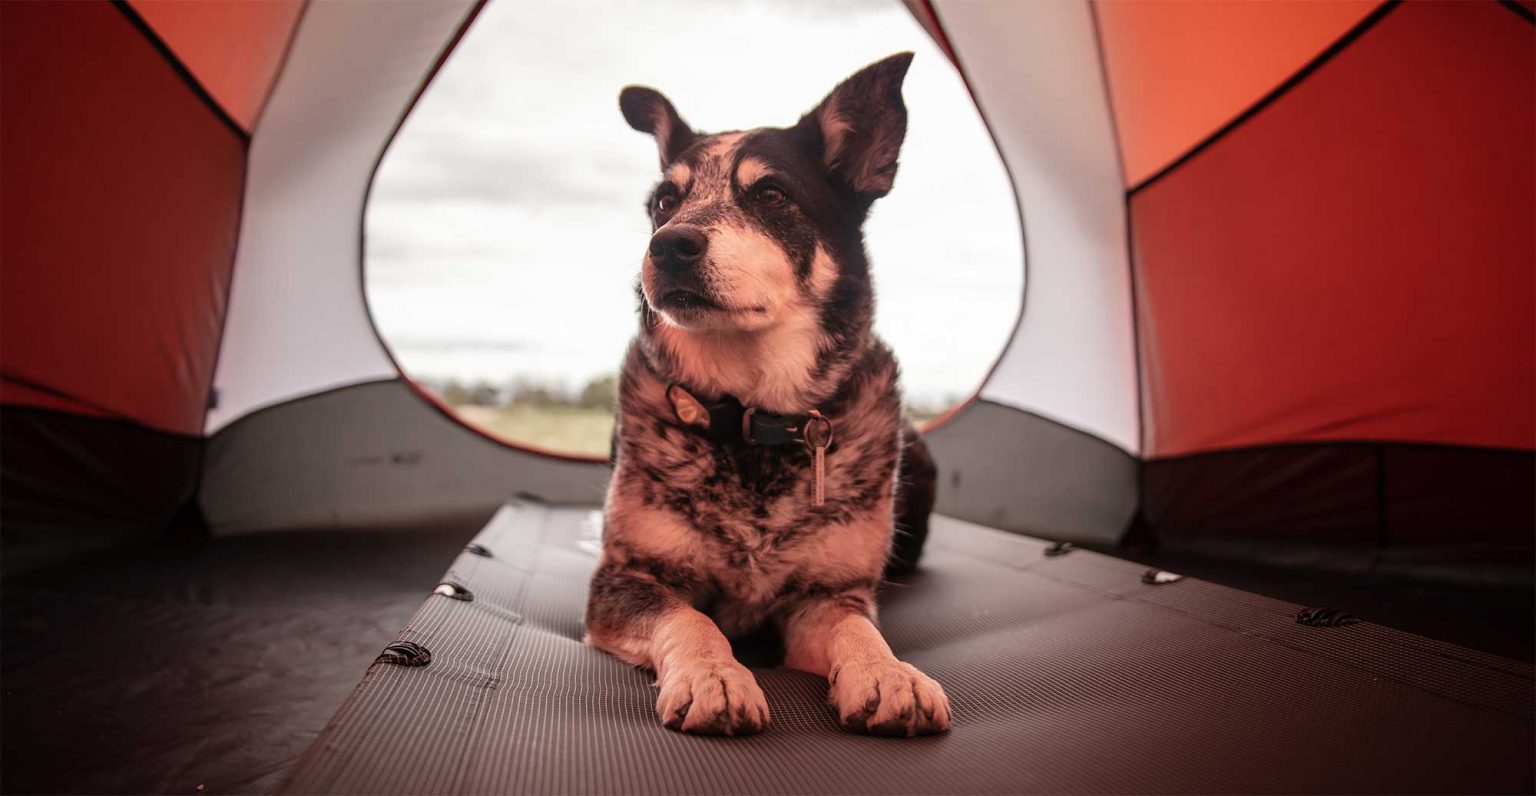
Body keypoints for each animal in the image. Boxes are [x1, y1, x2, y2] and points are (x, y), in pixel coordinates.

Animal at [583, 53, 946, 740]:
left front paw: (889, 674)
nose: (667, 245)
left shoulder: (825, 596)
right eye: (664, 201)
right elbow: (689, 617)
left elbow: (859, 630)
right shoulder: (625, 579)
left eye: (771, 194)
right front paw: (715, 676)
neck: (752, 417)